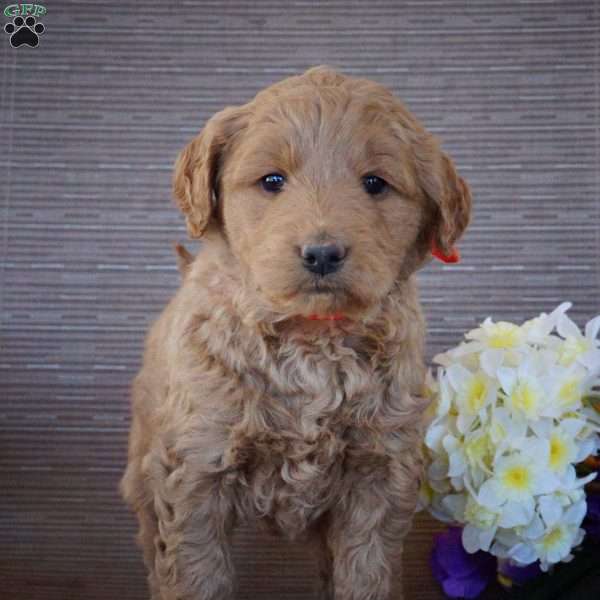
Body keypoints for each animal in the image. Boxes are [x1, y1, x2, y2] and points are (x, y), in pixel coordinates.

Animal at [119, 65, 472, 600]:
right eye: (272, 181)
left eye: (375, 183)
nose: (322, 253)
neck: (311, 338)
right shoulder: (195, 470)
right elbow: (197, 573)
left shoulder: (379, 471)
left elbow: (365, 573)